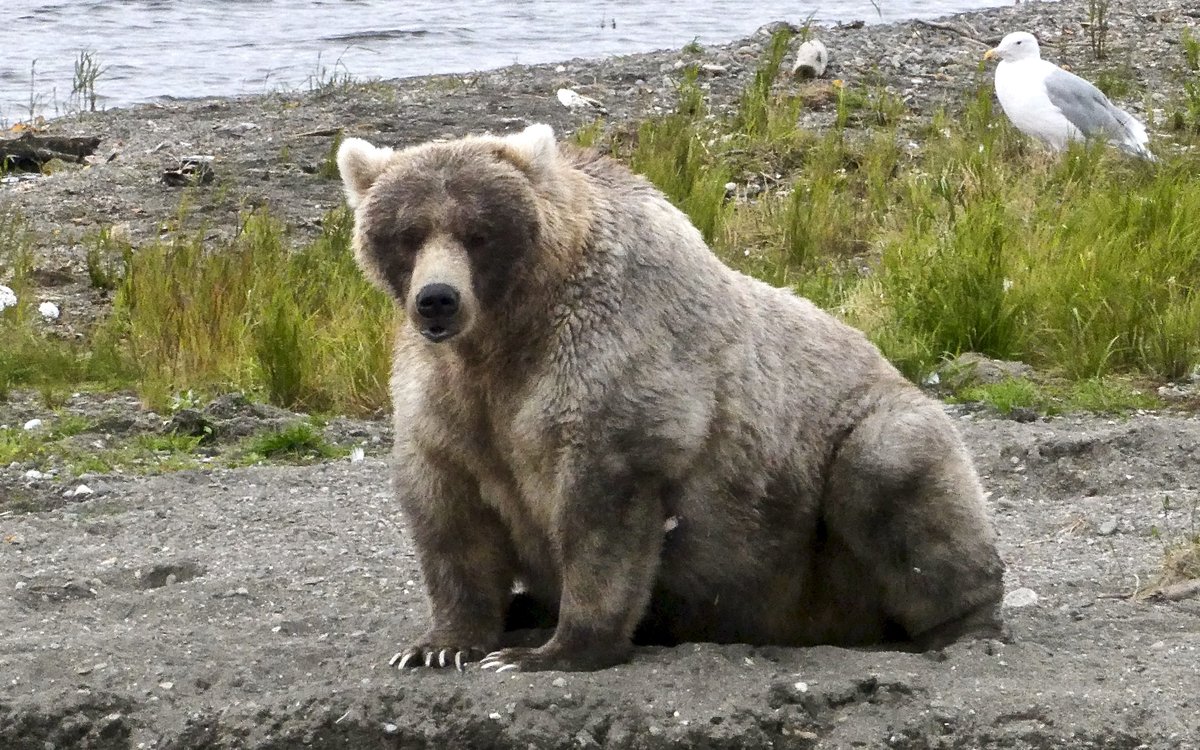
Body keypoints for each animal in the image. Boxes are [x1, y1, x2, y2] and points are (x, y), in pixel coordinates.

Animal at [338, 123, 1003, 672]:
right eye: (407, 234)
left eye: (478, 233)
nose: (438, 300)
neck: (510, 335)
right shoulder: (449, 398)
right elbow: (451, 515)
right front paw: (441, 645)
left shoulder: (611, 363)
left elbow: (602, 514)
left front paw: (548, 653)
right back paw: (525, 608)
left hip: (841, 469)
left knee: (892, 474)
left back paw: (961, 628)